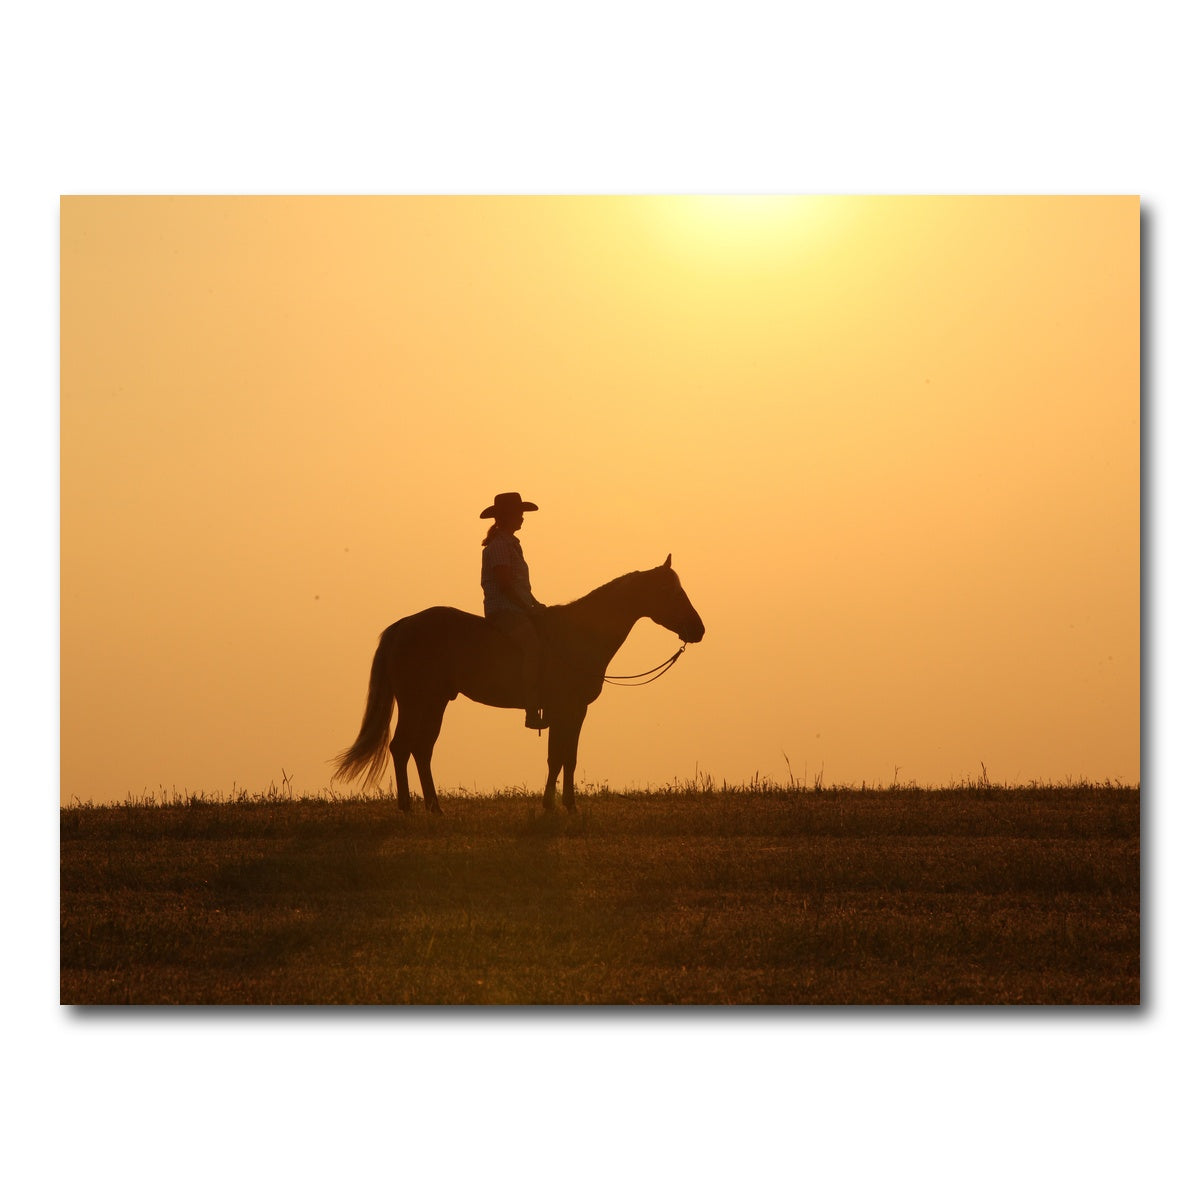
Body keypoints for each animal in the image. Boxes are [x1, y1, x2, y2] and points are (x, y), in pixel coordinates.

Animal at [332, 555, 705, 813]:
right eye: (670, 591)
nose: (698, 629)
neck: (578, 635)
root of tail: (403, 625)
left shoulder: (573, 712)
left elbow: (566, 757)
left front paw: (564, 805)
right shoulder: (566, 709)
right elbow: (558, 757)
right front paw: (555, 806)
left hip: (435, 702)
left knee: (422, 750)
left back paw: (435, 808)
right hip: (415, 700)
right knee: (401, 747)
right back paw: (408, 807)